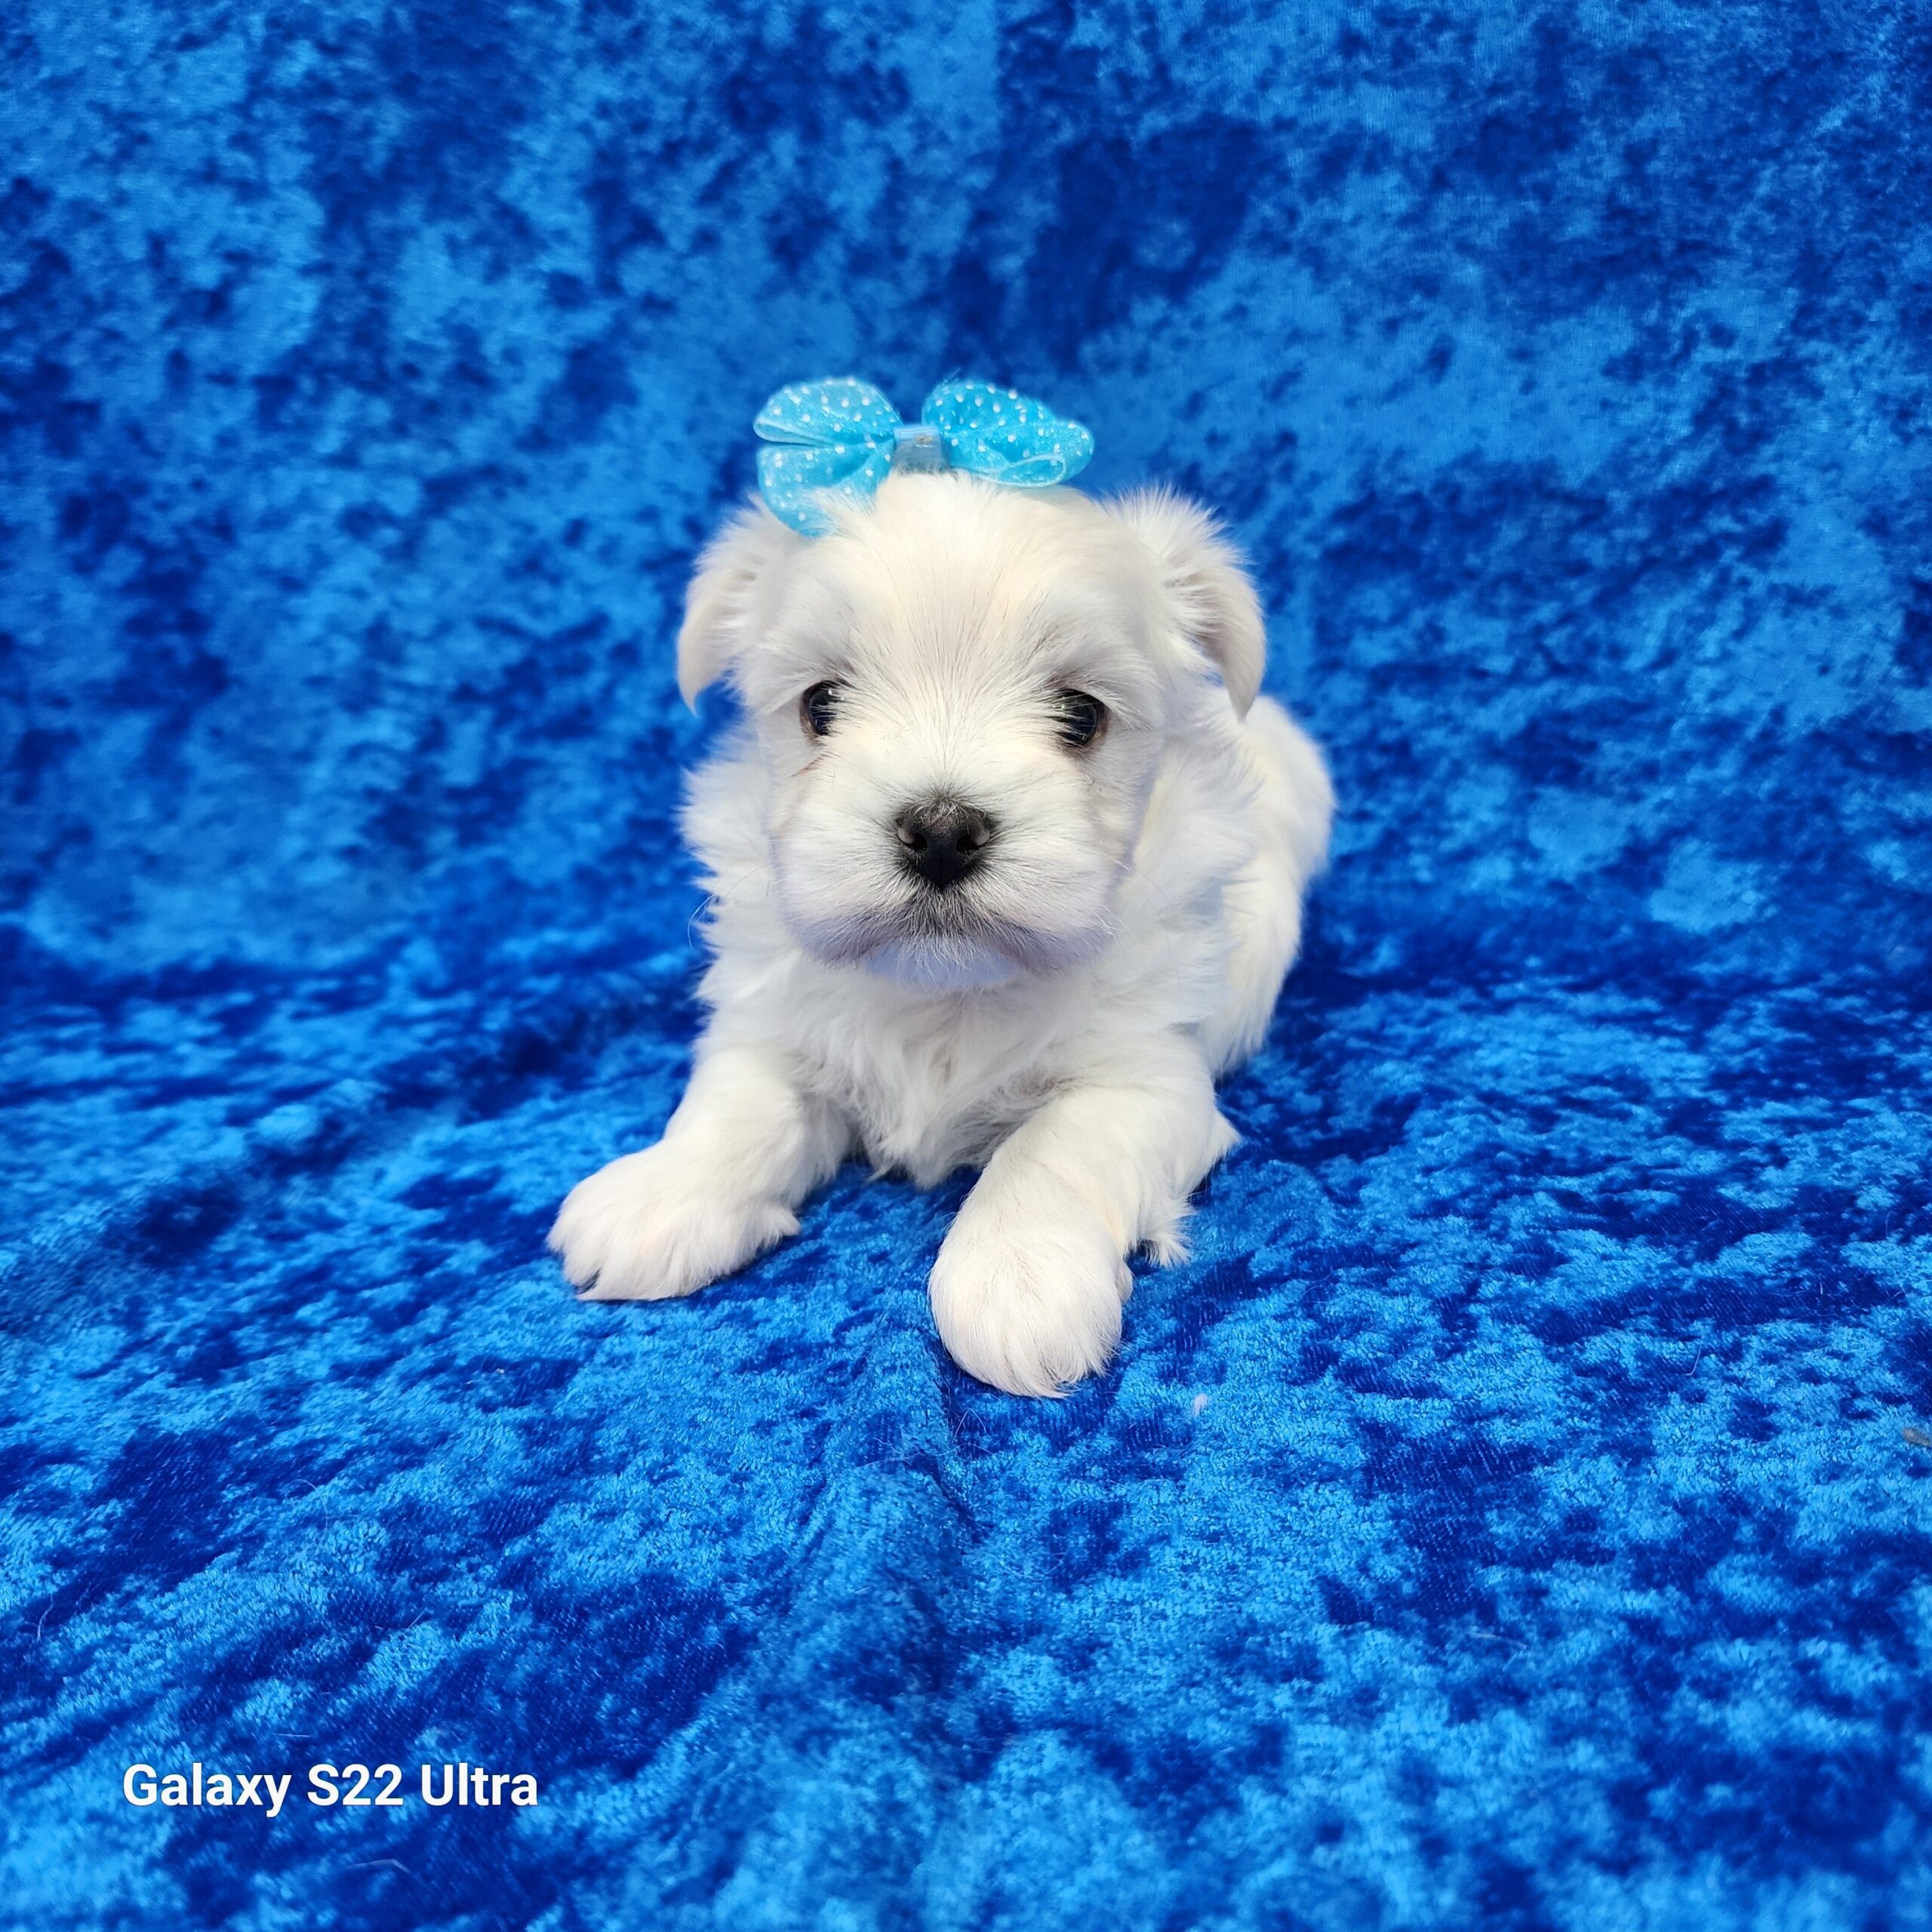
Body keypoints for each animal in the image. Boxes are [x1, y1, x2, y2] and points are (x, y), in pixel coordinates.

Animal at [550, 398, 1331, 1395]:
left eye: (1081, 716)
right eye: (820, 705)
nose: (942, 830)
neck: (943, 990)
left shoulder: (1150, 1076)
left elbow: (1052, 1150)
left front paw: (1016, 1278)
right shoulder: (773, 1024)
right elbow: (734, 1103)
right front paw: (662, 1190)